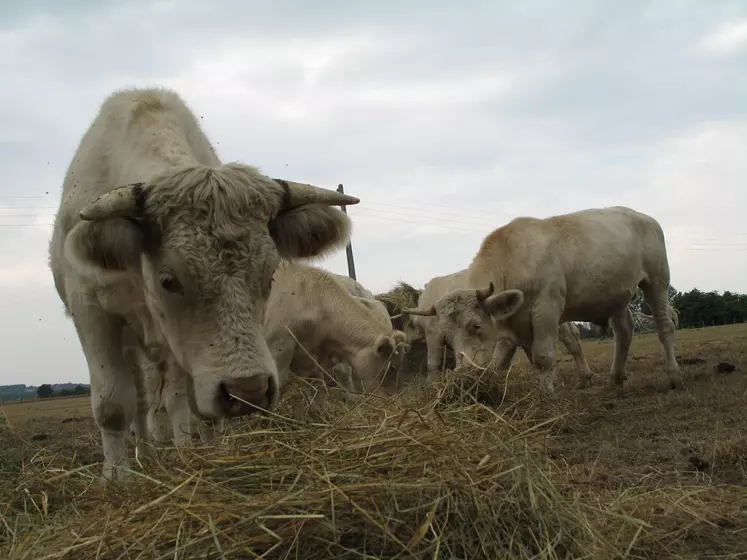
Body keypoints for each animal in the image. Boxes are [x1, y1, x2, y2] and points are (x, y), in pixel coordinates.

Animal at [49, 87, 360, 482]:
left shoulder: (183, 348)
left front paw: (201, 453)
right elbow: (113, 403)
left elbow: (188, 402)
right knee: (140, 400)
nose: (248, 391)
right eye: (168, 280)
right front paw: (116, 477)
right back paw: (144, 452)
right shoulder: (91, 310)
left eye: (269, 274)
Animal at [404, 206, 684, 394]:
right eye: (447, 336)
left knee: (664, 326)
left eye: (476, 325)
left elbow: (543, 356)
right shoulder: (514, 326)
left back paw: (674, 376)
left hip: (657, 280)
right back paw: (616, 377)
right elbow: (504, 363)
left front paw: (546, 394)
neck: (512, 261)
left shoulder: (546, 310)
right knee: (624, 331)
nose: (464, 374)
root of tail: (642, 216)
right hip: (617, 295)